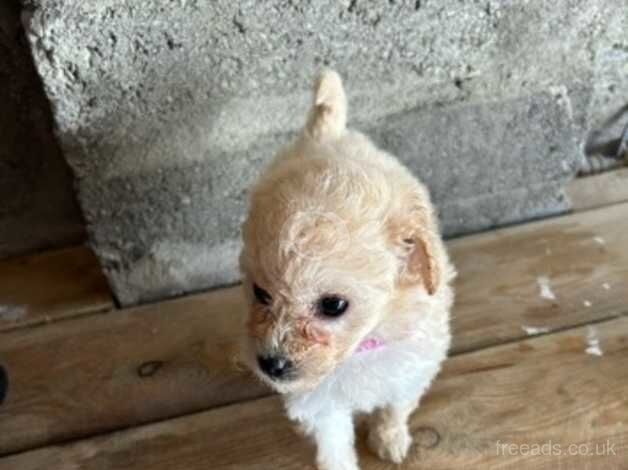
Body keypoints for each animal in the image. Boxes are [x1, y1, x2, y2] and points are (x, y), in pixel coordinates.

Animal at [238, 70, 454, 470]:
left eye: (333, 306)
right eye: (260, 293)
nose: (270, 364)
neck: (362, 344)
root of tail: (325, 135)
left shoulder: (411, 367)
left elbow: (395, 408)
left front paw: (390, 439)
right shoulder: (321, 402)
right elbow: (335, 445)